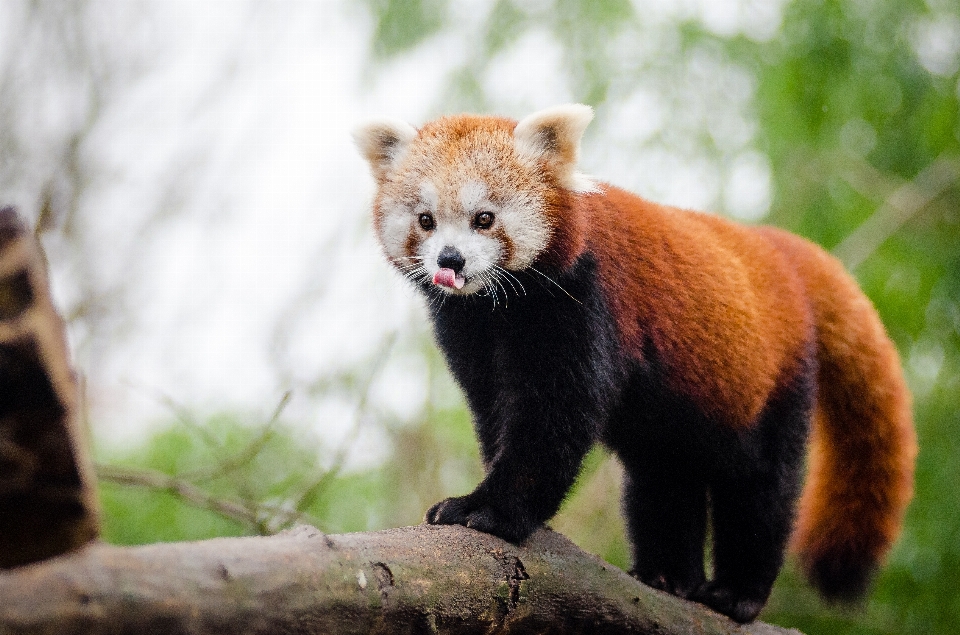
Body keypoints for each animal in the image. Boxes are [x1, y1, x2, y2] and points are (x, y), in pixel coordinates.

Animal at [352, 105, 916, 628]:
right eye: (426, 220)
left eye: (484, 218)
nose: (450, 261)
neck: (503, 309)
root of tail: (778, 251)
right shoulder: (471, 332)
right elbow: (496, 411)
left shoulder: (586, 301)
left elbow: (553, 419)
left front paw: (490, 509)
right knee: (663, 477)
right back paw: (669, 576)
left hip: (771, 381)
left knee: (761, 485)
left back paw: (737, 593)